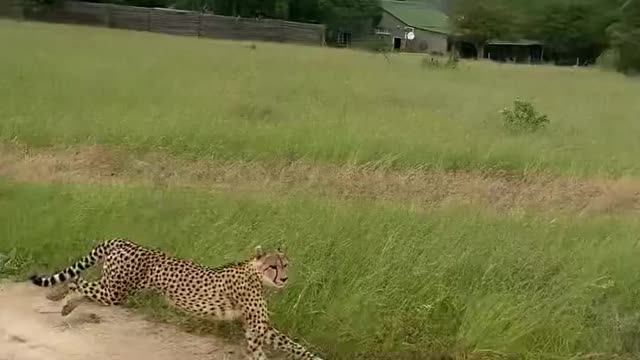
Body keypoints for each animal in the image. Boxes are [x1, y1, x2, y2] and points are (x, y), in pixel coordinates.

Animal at [28, 238, 324, 358]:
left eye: (285, 265)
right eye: (273, 266)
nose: (284, 279)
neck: (255, 274)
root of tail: (122, 241)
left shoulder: (258, 327)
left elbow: (291, 347)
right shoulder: (256, 326)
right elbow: (276, 349)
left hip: (112, 287)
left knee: (79, 281)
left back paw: (62, 303)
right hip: (115, 290)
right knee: (77, 282)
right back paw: (60, 300)